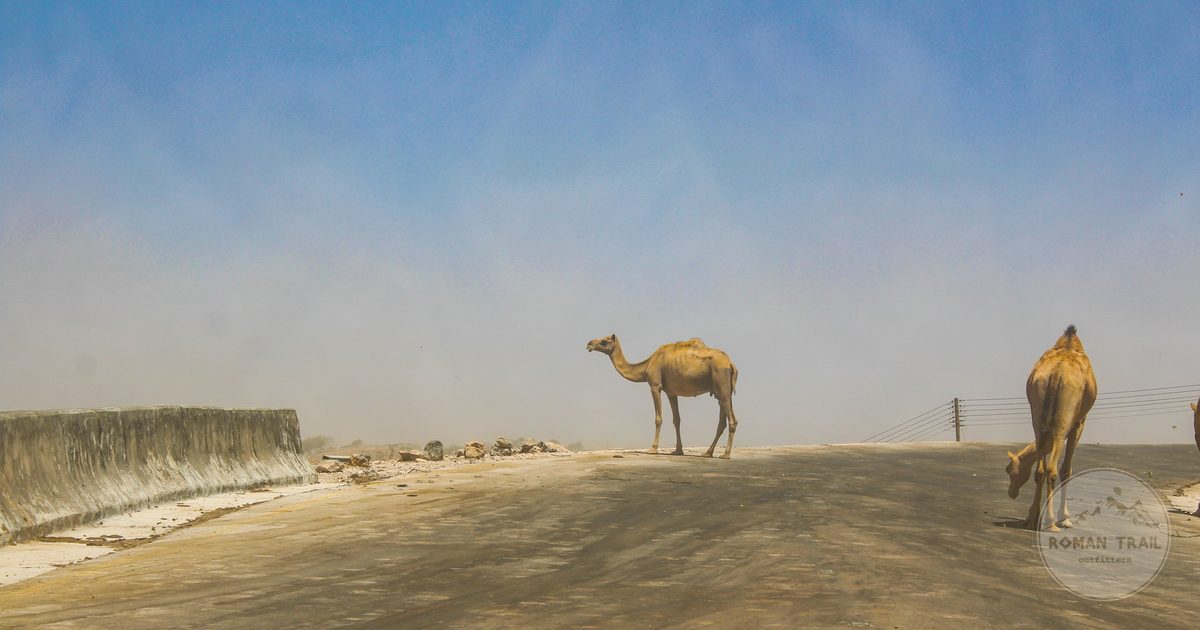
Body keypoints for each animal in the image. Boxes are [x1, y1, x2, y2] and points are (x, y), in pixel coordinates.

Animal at [586, 334, 739, 458]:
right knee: (722, 421)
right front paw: (678, 451)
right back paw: (708, 453)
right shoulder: (671, 392)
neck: (647, 365)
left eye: (604, 340)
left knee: (732, 420)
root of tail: (731, 364)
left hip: (721, 383)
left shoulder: (655, 385)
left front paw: (653, 449)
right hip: (721, 391)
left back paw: (726, 454)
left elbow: (658, 418)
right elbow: (676, 420)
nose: (589, 344)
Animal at [1006, 325, 1097, 531]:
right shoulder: (1078, 422)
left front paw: (1031, 515)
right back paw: (1052, 521)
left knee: (1040, 469)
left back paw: (1034, 520)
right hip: (1061, 425)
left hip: (1038, 418)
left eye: (1011, 471)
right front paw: (1066, 518)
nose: (1011, 493)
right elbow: (1066, 470)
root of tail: (1056, 374)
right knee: (1052, 469)